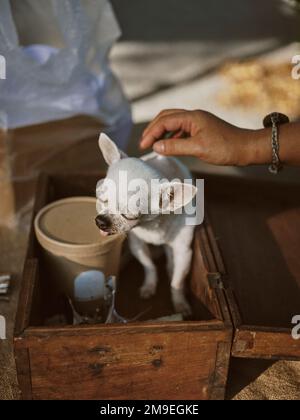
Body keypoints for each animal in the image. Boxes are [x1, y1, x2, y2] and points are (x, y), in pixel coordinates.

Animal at [94, 134, 197, 316]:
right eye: (102, 200)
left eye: (129, 215)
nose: (101, 221)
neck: (153, 226)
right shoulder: (137, 244)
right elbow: (149, 266)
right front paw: (149, 285)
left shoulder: (183, 251)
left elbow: (176, 282)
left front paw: (180, 303)